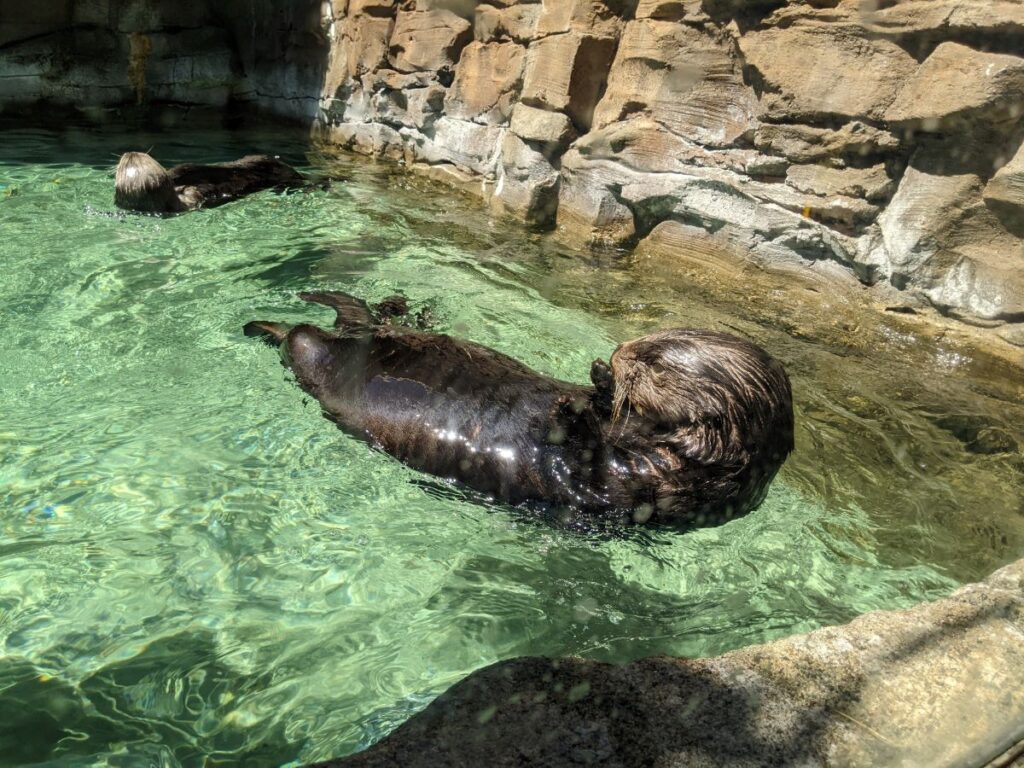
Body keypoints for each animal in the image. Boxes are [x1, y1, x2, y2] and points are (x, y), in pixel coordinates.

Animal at [243, 290, 794, 528]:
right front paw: (596, 383)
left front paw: (577, 406)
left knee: (301, 338)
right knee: (356, 317)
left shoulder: (645, 488)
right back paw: (394, 305)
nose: (618, 353)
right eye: (649, 340)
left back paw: (263, 324)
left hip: (317, 359)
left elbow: (585, 468)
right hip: (363, 337)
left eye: (654, 362)